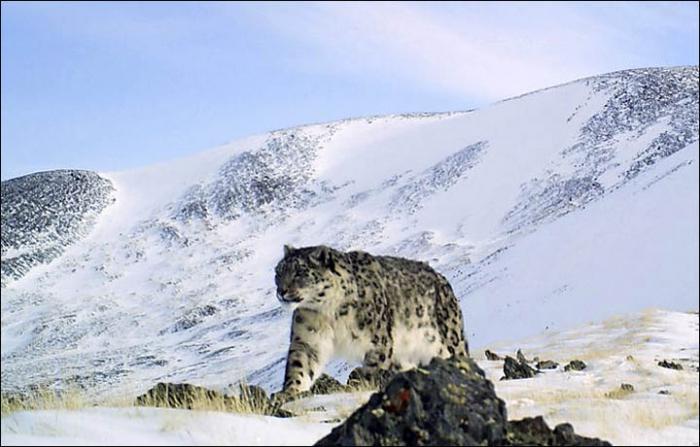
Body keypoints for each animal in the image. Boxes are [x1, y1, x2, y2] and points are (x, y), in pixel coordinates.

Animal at [274, 247, 470, 398]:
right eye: (278, 272)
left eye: (300, 272)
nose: (281, 291)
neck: (330, 312)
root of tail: (442, 279)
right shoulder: (308, 338)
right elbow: (300, 364)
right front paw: (290, 392)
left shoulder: (378, 340)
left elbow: (372, 369)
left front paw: (362, 385)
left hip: (449, 338)